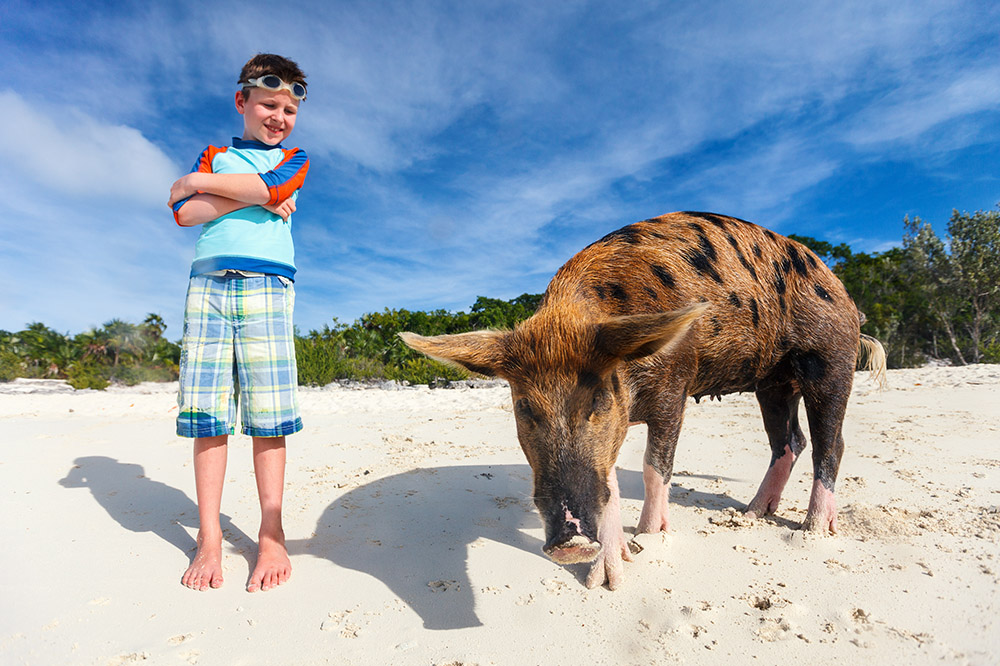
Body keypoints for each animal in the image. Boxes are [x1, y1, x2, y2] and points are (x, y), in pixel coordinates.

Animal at [400, 211, 886, 589]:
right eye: (525, 408)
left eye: (598, 400)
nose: (570, 542)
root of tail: (845, 296)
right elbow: (611, 484)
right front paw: (607, 577)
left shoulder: (676, 387)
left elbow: (656, 468)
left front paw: (651, 536)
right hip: (772, 383)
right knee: (789, 443)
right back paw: (752, 514)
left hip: (831, 358)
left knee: (830, 443)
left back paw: (812, 530)